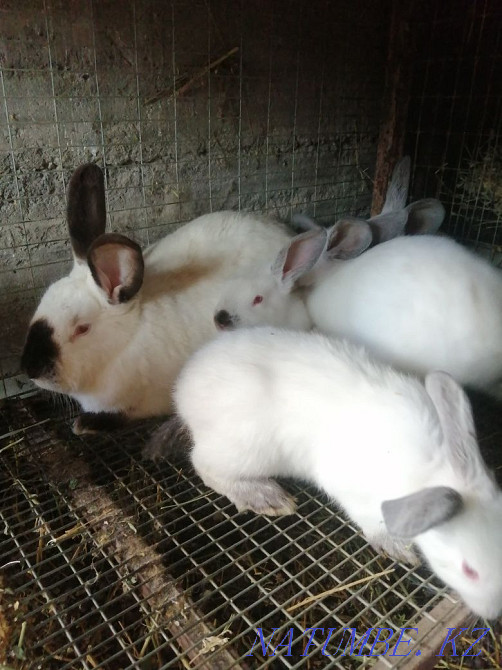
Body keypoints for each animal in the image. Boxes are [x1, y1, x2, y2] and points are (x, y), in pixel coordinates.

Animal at [20, 163, 293, 434]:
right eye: (43, 302)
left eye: (82, 329)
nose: (29, 368)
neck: (127, 339)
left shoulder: (143, 404)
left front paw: (83, 424)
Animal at [145, 326, 502, 620]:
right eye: (469, 570)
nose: (493, 614)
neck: (430, 468)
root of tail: (182, 395)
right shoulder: (354, 493)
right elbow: (373, 524)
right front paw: (398, 549)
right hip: (243, 449)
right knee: (204, 466)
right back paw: (266, 497)